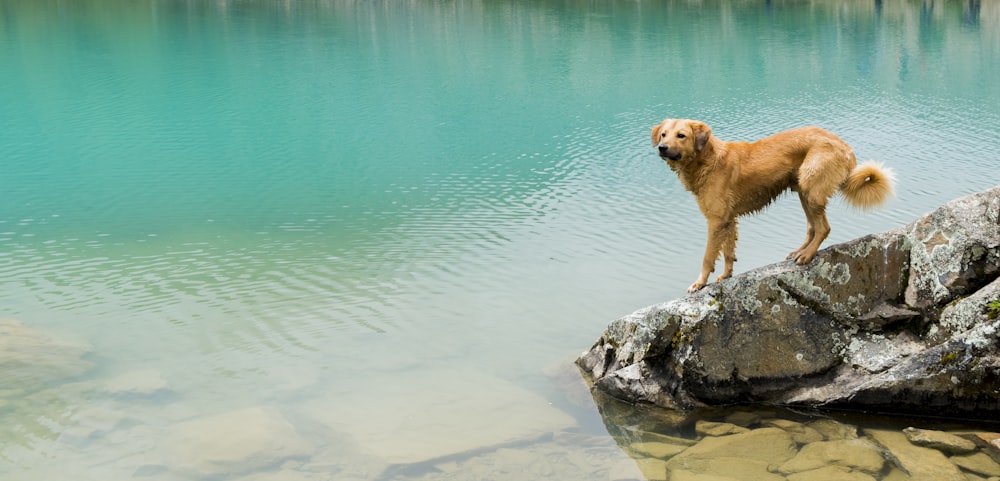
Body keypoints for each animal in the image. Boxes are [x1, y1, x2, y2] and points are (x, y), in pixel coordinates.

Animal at [652, 119, 896, 292]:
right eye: (664, 134)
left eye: (681, 135)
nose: (662, 147)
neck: (707, 160)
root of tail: (845, 146)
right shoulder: (728, 220)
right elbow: (728, 252)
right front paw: (726, 276)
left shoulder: (716, 220)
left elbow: (707, 256)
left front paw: (700, 283)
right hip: (802, 190)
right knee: (812, 226)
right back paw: (800, 251)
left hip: (811, 186)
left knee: (823, 227)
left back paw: (807, 255)